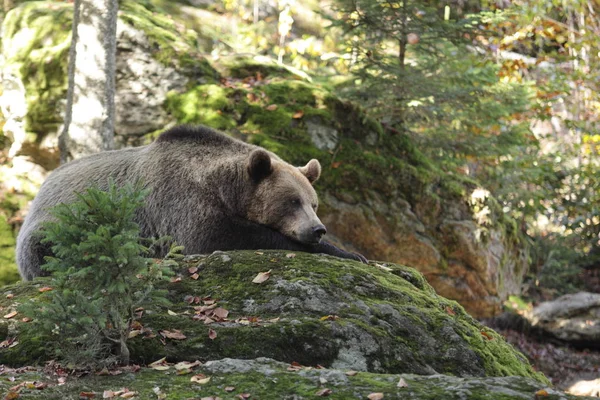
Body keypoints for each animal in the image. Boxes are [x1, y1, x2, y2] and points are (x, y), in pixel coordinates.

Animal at [16, 123, 368, 280]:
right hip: (64, 222)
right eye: (292, 201)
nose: (318, 230)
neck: (222, 186)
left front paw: (351, 252)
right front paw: (348, 253)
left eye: (313, 203)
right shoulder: (179, 203)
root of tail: (42, 186)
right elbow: (216, 236)